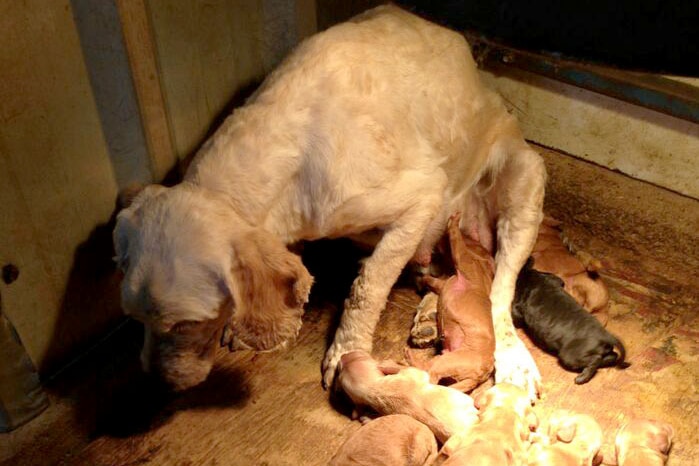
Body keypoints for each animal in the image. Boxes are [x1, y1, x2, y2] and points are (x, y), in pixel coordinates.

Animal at [412, 212, 494, 394]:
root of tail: (480, 376)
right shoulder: (442, 284)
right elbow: (430, 279)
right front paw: (420, 281)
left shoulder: (462, 257)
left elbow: (456, 240)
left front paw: (454, 219)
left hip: (449, 361)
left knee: (430, 373)